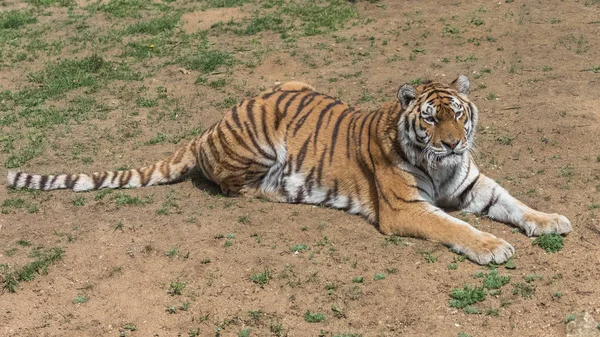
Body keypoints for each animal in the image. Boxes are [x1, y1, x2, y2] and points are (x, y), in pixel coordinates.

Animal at [8, 76, 572, 266]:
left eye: (458, 113)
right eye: (431, 119)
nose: (453, 144)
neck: (441, 167)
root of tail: (210, 124)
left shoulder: (475, 185)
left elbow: (516, 204)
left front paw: (551, 221)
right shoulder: (405, 209)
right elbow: (457, 226)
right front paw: (493, 246)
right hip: (259, 141)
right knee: (233, 187)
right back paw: (277, 191)